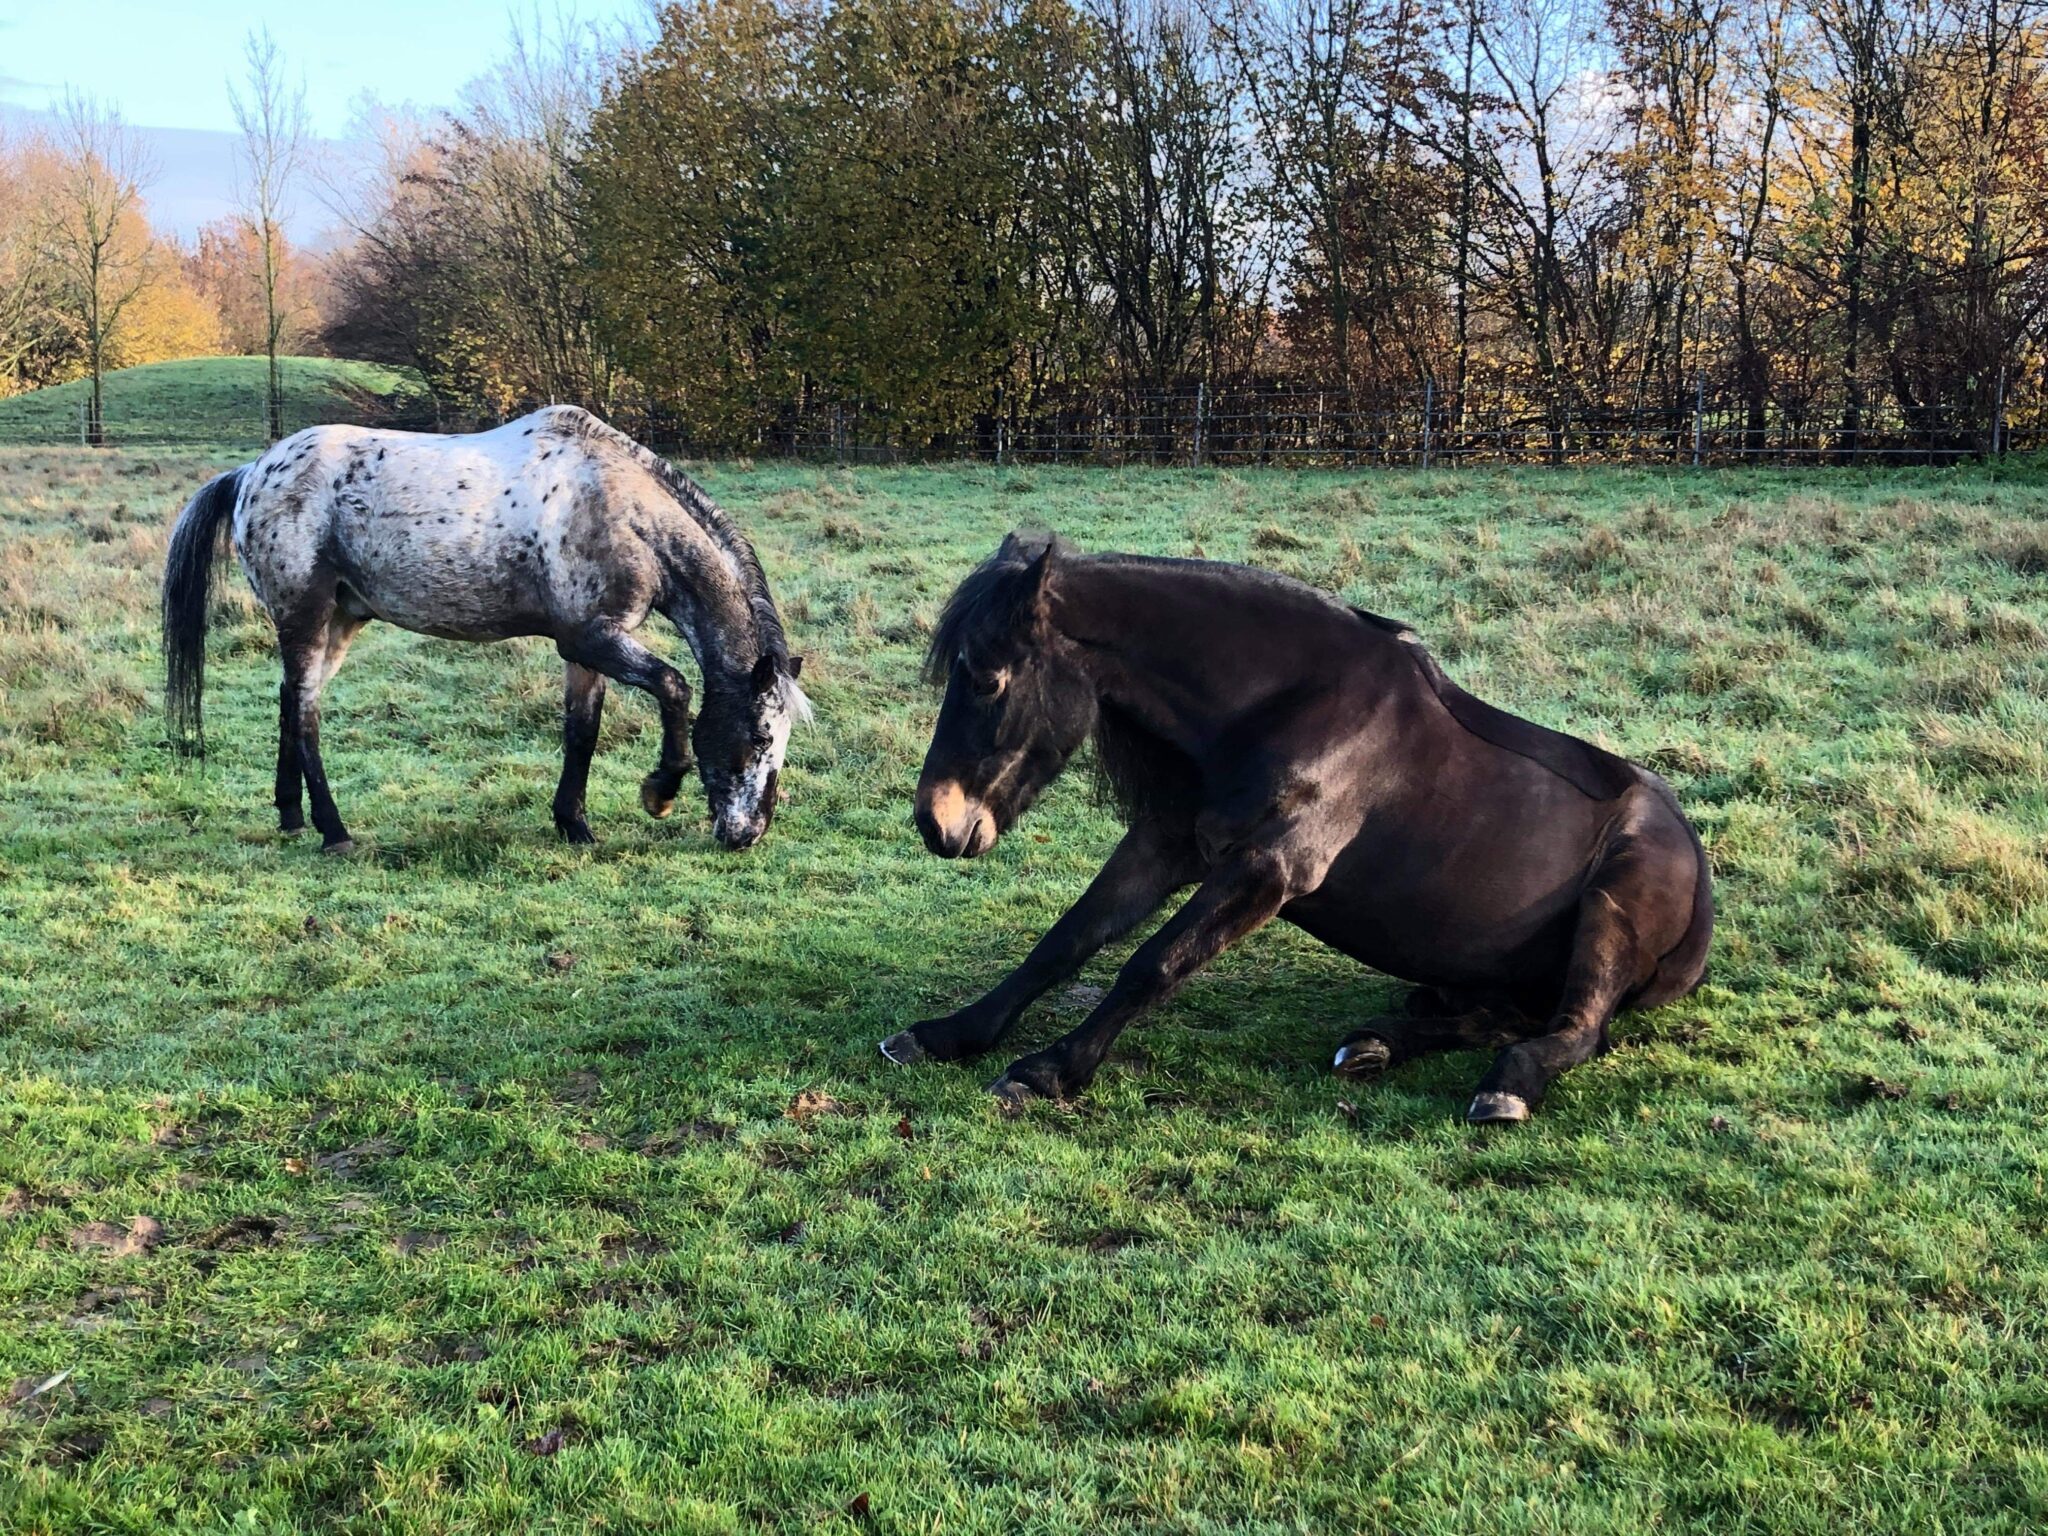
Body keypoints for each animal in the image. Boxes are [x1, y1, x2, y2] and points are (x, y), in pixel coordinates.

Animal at [162, 405, 808, 853]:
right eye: (758, 737)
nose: (747, 834)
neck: (619, 507)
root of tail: (252, 473)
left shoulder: (586, 648)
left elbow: (582, 732)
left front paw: (574, 824)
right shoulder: (591, 638)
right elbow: (674, 686)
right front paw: (660, 791)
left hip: (341, 619)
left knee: (291, 703)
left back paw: (292, 817)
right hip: (307, 618)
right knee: (304, 715)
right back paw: (332, 830)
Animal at [883, 532, 1713, 1125]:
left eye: (988, 679)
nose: (936, 821)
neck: (1287, 705)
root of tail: (1695, 866)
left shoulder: (1267, 870)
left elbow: (1153, 963)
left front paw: (1047, 1071)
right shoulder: (1165, 845)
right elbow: (1066, 940)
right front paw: (950, 1034)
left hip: (1607, 913)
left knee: (1577, 1031)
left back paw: (1505, 1087)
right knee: (1496, 1016)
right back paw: (1375, 1044)